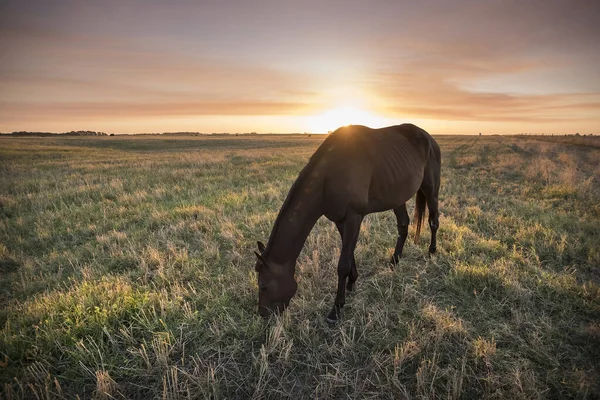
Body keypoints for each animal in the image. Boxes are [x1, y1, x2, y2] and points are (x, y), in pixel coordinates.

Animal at [253, 123, 440, 324]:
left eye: (263, 286)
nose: (263, 314)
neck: (328, 177)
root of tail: (429, 137)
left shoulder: (353, 217)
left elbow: (343, 264)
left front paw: (336, 309)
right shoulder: (340, 220)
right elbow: (349, 254)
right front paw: (352, 282)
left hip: (431, 190)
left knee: (433, 221)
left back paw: (432, 251)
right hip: (397, 196)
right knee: (403, 225)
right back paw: (395, 261)